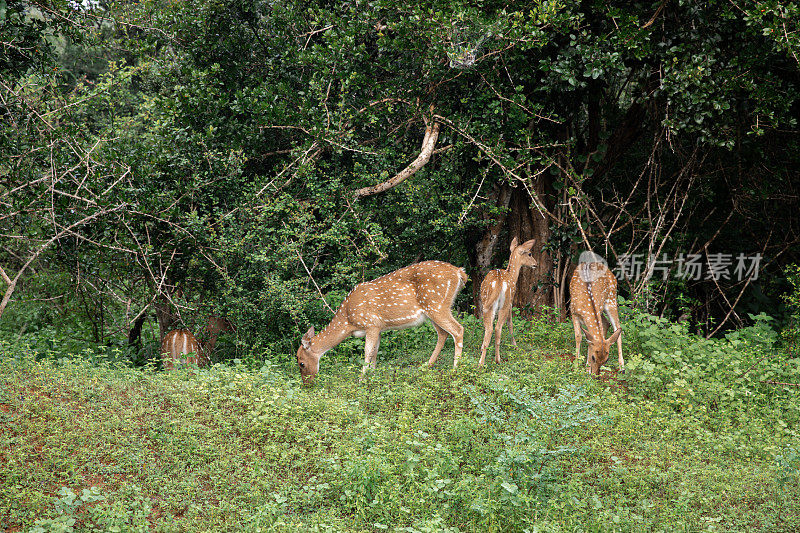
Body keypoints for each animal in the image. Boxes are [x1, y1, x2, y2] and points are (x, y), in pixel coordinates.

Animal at [296, 260, 466, 382]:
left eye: (301, 363)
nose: (307, 384)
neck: (348, 320)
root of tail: (459, 272)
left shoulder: (371, 323)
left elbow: (367, 351)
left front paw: (361, 378)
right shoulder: (378, 327)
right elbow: (375, 351)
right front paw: (372, 374)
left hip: (437, 305)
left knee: (458, 329)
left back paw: (455, 369)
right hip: (433, 311)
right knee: (443, 334)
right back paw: (426, 366)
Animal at [478, 238, 536, 366]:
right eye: (529, 253)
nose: (535, 264)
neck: (512, 276)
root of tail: (499, 281)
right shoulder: (511, 303)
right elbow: (511, 323)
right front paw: (515, 345)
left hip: (486, 303)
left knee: (489, 328)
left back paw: (481, 362)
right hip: (504, 303)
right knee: (497, 328)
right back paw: (497, 359)